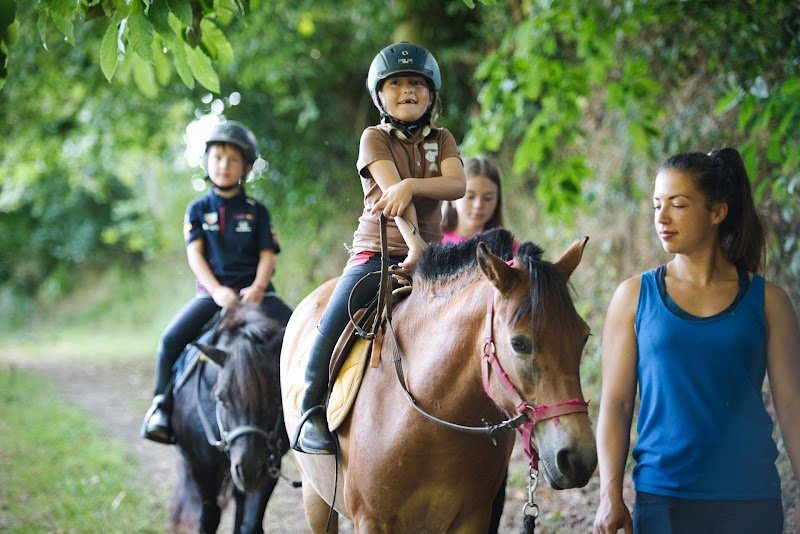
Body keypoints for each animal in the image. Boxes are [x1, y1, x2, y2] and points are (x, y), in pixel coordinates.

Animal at [170, 305, 289, 533]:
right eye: (221, 398)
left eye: (276, 396)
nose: (250, 470)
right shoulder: (200, 465)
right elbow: (209, 518)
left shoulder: (271, 464)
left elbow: (251, 523)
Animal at [280, 229, 598, 533]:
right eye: (519, 344)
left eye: (584, 337)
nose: (578, 459)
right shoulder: (370, 521)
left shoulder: (473, 518)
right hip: (314, 496)